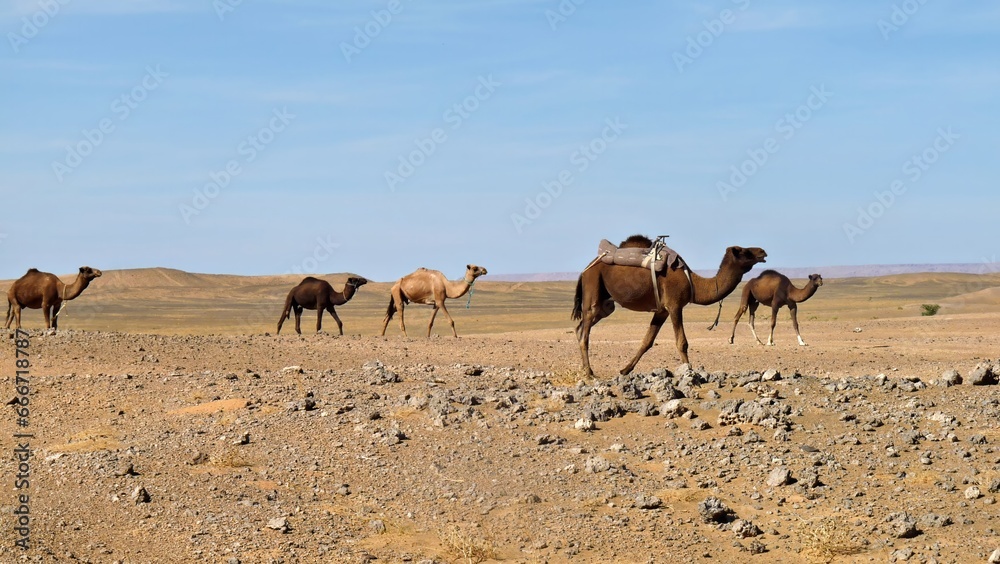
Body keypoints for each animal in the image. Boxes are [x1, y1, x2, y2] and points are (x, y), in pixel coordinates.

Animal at [572, 236, 764, 376]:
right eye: (744, 251)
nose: (762, 251)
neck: (693, 282)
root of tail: (585, 268)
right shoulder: (675, 305)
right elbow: (682, 342)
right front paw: (691, 373)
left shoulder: (662, 311)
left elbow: (647, 341)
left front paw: (625, 370)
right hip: (593, 284)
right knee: (585, 330)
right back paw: (589, 373)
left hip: (606, 303)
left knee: (581, 326)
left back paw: (584, 368)